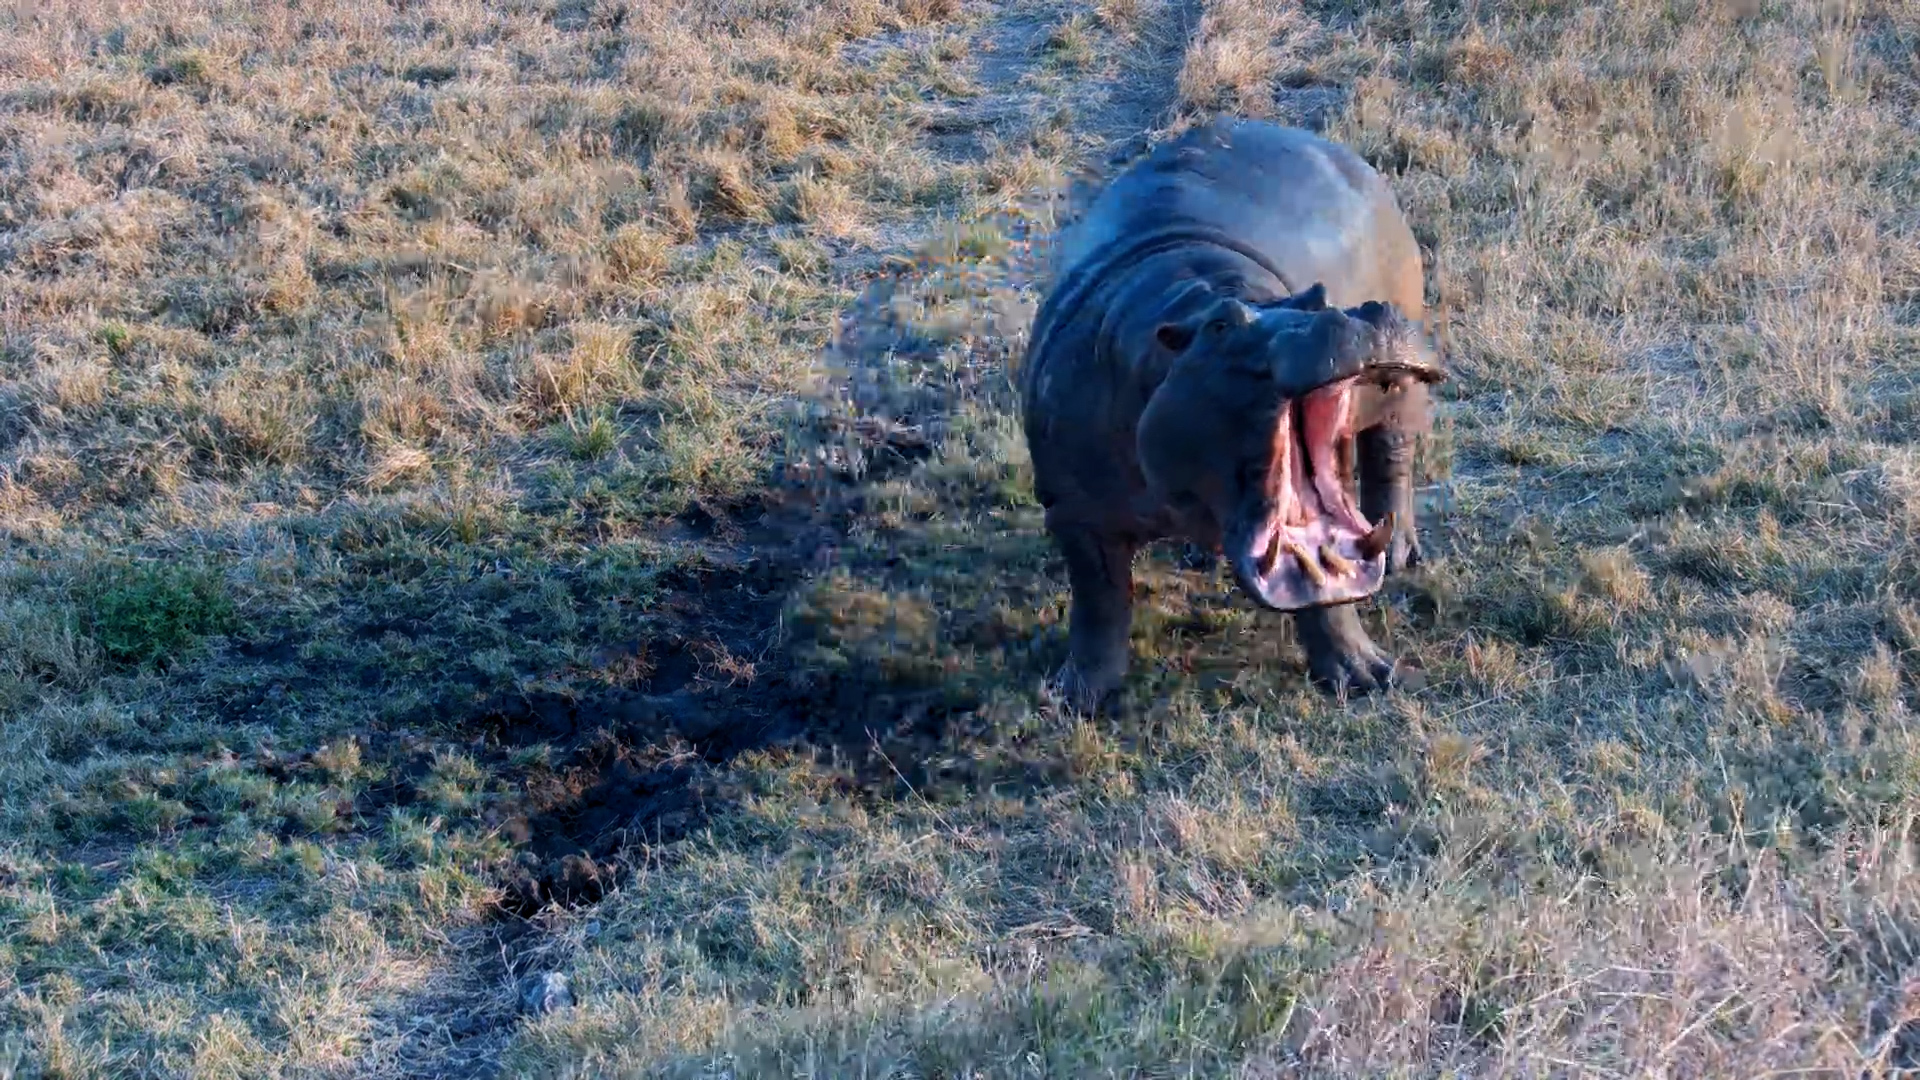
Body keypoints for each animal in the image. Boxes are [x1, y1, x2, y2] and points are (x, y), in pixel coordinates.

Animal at [1019, 116, 1446, 713]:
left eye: (1316, 297)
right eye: (1223, 325)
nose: (1359, 313)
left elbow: (1328, 588)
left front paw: (1370, 676)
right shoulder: (1070, 510)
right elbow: (1098, 605)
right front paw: (1075, 699)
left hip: (1400, 395)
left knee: (1392, 457)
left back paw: (1405, 554)